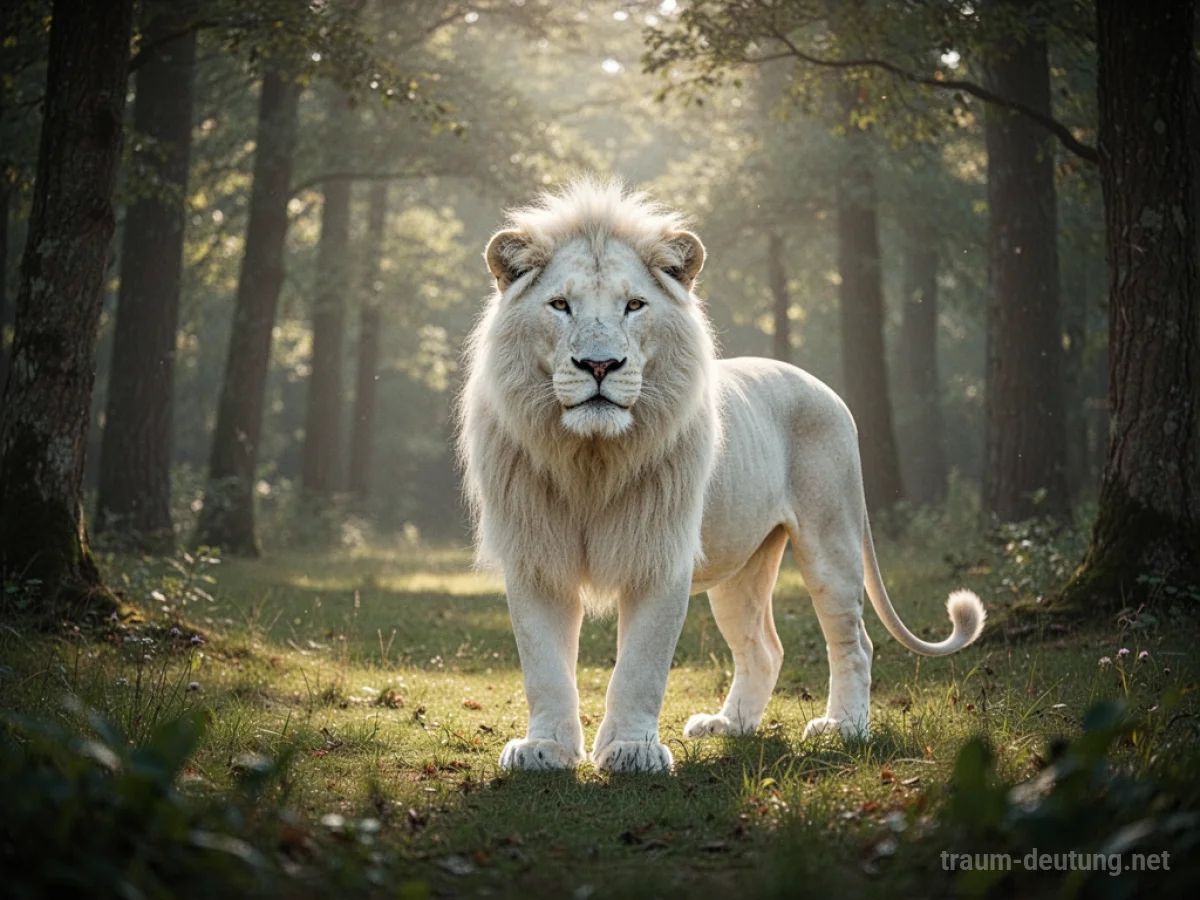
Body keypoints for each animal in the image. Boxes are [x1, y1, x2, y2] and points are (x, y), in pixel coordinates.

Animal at [458, 179, 984, 773]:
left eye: (634, 305)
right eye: (560, 305)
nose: (599, 365)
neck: (591, 458)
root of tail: (825, 389)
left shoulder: (660, 552)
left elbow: (641, 665)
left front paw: (631, 751)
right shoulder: (535, 554)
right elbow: (543, 665)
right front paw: (544, 749)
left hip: (832, 539)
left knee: (854, 641)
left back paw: (842, 729)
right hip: (743, 568)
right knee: (764, 648)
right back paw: (729, 726)